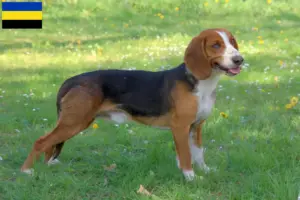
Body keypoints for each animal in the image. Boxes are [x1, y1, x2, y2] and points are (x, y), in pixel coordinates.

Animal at [21, 28, 244, 181]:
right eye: (216, 45)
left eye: (233, 42)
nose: (239, 59)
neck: (201, 83)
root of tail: (71, 80)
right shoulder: (180, 127)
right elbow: (186, 156)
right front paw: (190, 177)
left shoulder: (196, 127)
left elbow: (198, 153)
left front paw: (206, 171)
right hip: (74, 122)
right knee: (41, 141)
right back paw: (26, 170)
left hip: (72, 123)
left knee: (50, 144)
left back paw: (47, 166)